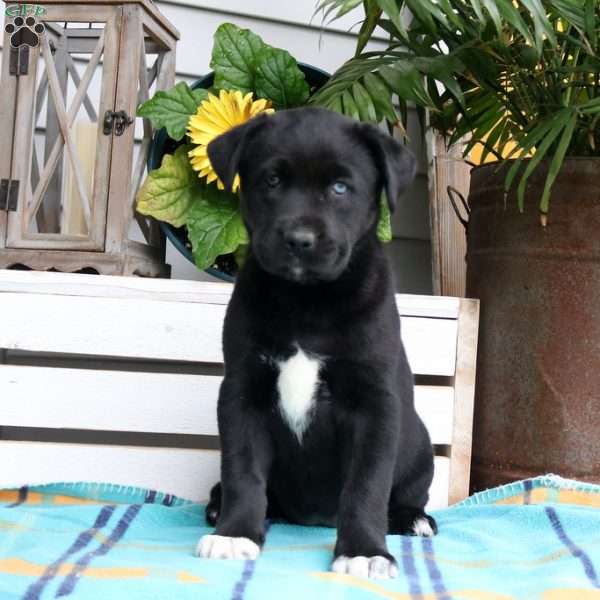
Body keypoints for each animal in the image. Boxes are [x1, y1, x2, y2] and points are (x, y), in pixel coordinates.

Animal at [197, 106, 436, 576]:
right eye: (272, 180)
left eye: (340, 187)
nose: (299, 240)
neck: (306, 301)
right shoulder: (242, 392)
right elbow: (242, 471)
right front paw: (236, 533)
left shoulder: (374, 403)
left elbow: (366, 484)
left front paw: (363, 551)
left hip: (420, 445)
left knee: (406, 493)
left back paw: (413, 519)